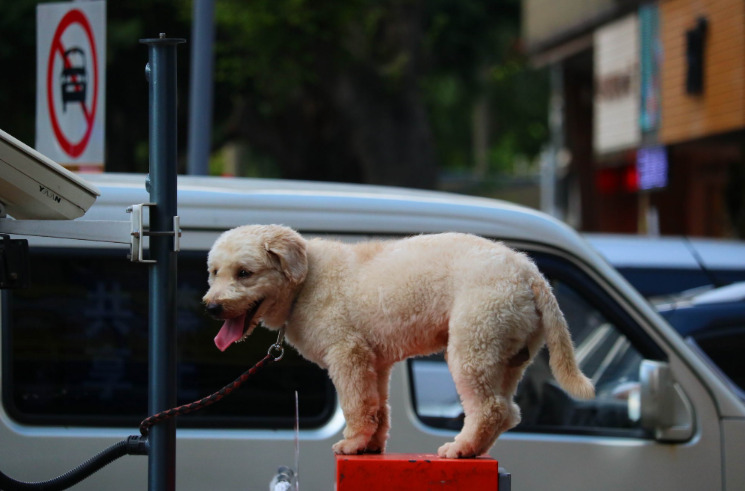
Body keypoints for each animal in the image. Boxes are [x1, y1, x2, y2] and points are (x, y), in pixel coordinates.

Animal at [202, 225, 592, 460]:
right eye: (213, 272)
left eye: (244, 273)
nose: (210, 307)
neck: (307, 281)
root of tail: (530, 273)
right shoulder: (374, 361)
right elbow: (377, 407)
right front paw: (372, 445)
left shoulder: (348, 353)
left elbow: (357, 404)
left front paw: (353, 443)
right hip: (505, 353)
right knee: (508, 410)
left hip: (474, 344)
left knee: (490, 408)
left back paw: (460, 449)